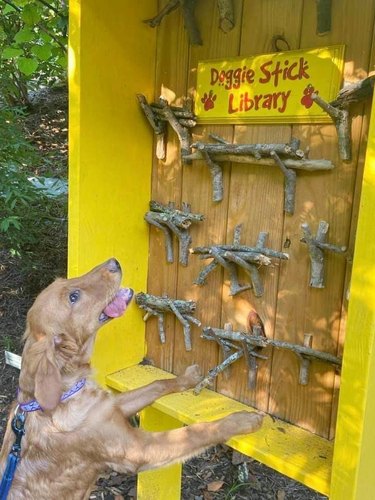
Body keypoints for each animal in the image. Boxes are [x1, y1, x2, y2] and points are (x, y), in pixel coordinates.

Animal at [0, 260, 264, 498]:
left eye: (66, 281)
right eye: (73, 297)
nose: (114, 261)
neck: (70, 390)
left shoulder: (114, 405)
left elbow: (157, 384)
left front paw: (187, 378)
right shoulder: (139, 449)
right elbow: (198, 431)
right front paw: (242, 420)